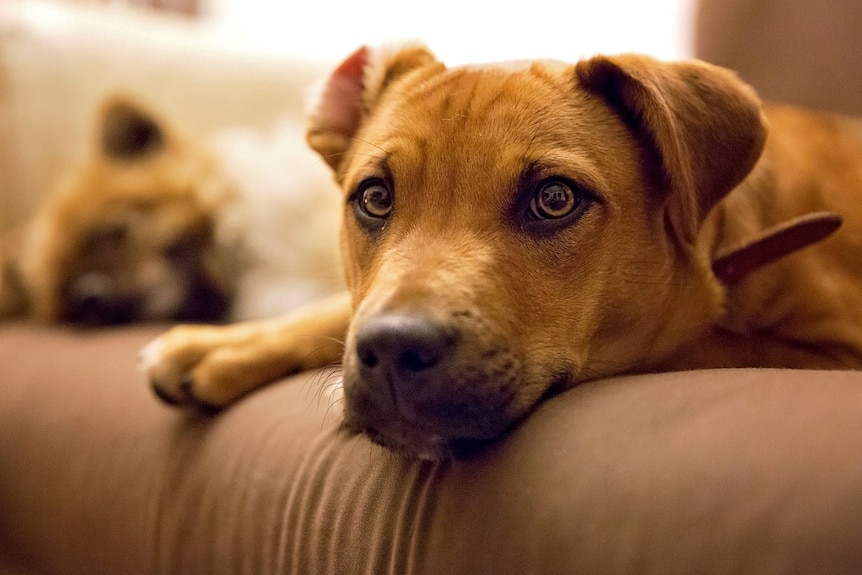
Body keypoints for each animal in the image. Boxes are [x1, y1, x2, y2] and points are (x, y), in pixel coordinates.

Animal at [142, 44, 862, 460]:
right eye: (374, 197)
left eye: (555, 199)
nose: (394, 350)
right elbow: (336, 312)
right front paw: (218, 346)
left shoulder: (829, 350)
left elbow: (680, 341)